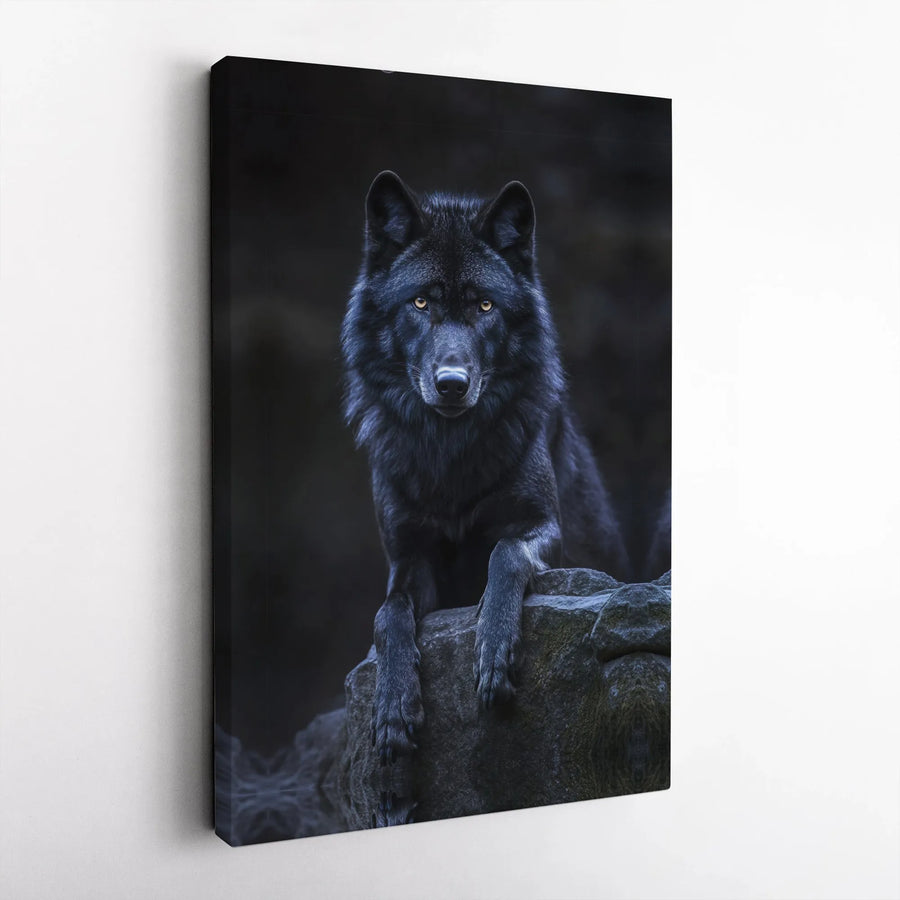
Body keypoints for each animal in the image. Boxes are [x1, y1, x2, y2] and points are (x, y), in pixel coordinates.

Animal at [341, 171, 629, 775]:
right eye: (421, 302)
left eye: (484, 306)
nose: (451, 384)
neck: (451, 459)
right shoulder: (407, 559)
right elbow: (387, 614)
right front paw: (393, 708)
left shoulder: (543, 527)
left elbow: (504, 553)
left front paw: (493, 650)